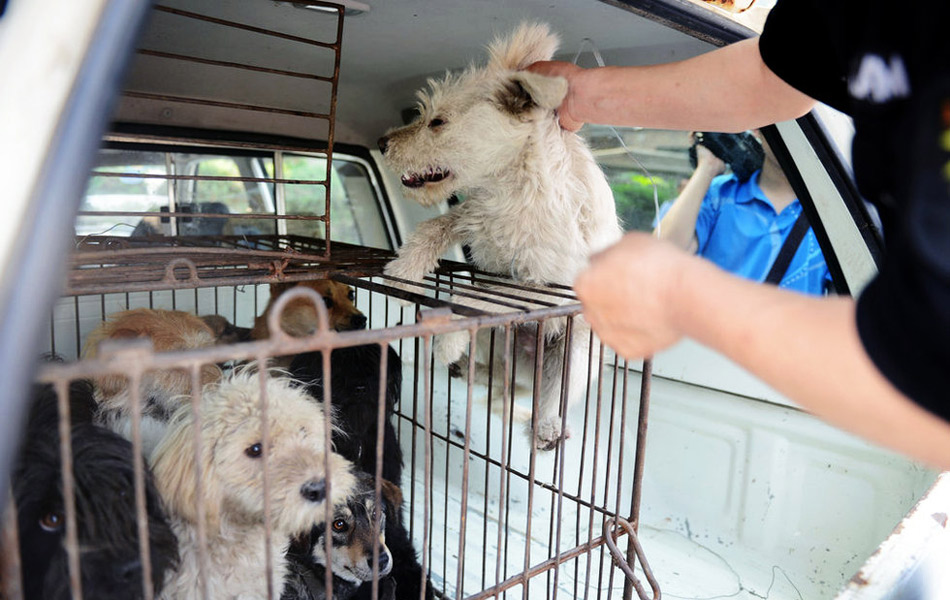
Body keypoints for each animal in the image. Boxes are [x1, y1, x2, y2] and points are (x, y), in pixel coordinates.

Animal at [380, 21, 624, 448]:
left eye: (438, 122)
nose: (382, 143)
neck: (512, 184)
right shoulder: (472, 215)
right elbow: (432, 227)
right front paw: (402, 271)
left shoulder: (544, 284)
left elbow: (484, 294)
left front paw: (448, 335)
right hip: (495, 343)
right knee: (491, 368)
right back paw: (465, 364)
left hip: (575, 354)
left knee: (550, 395)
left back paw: (546, 427)